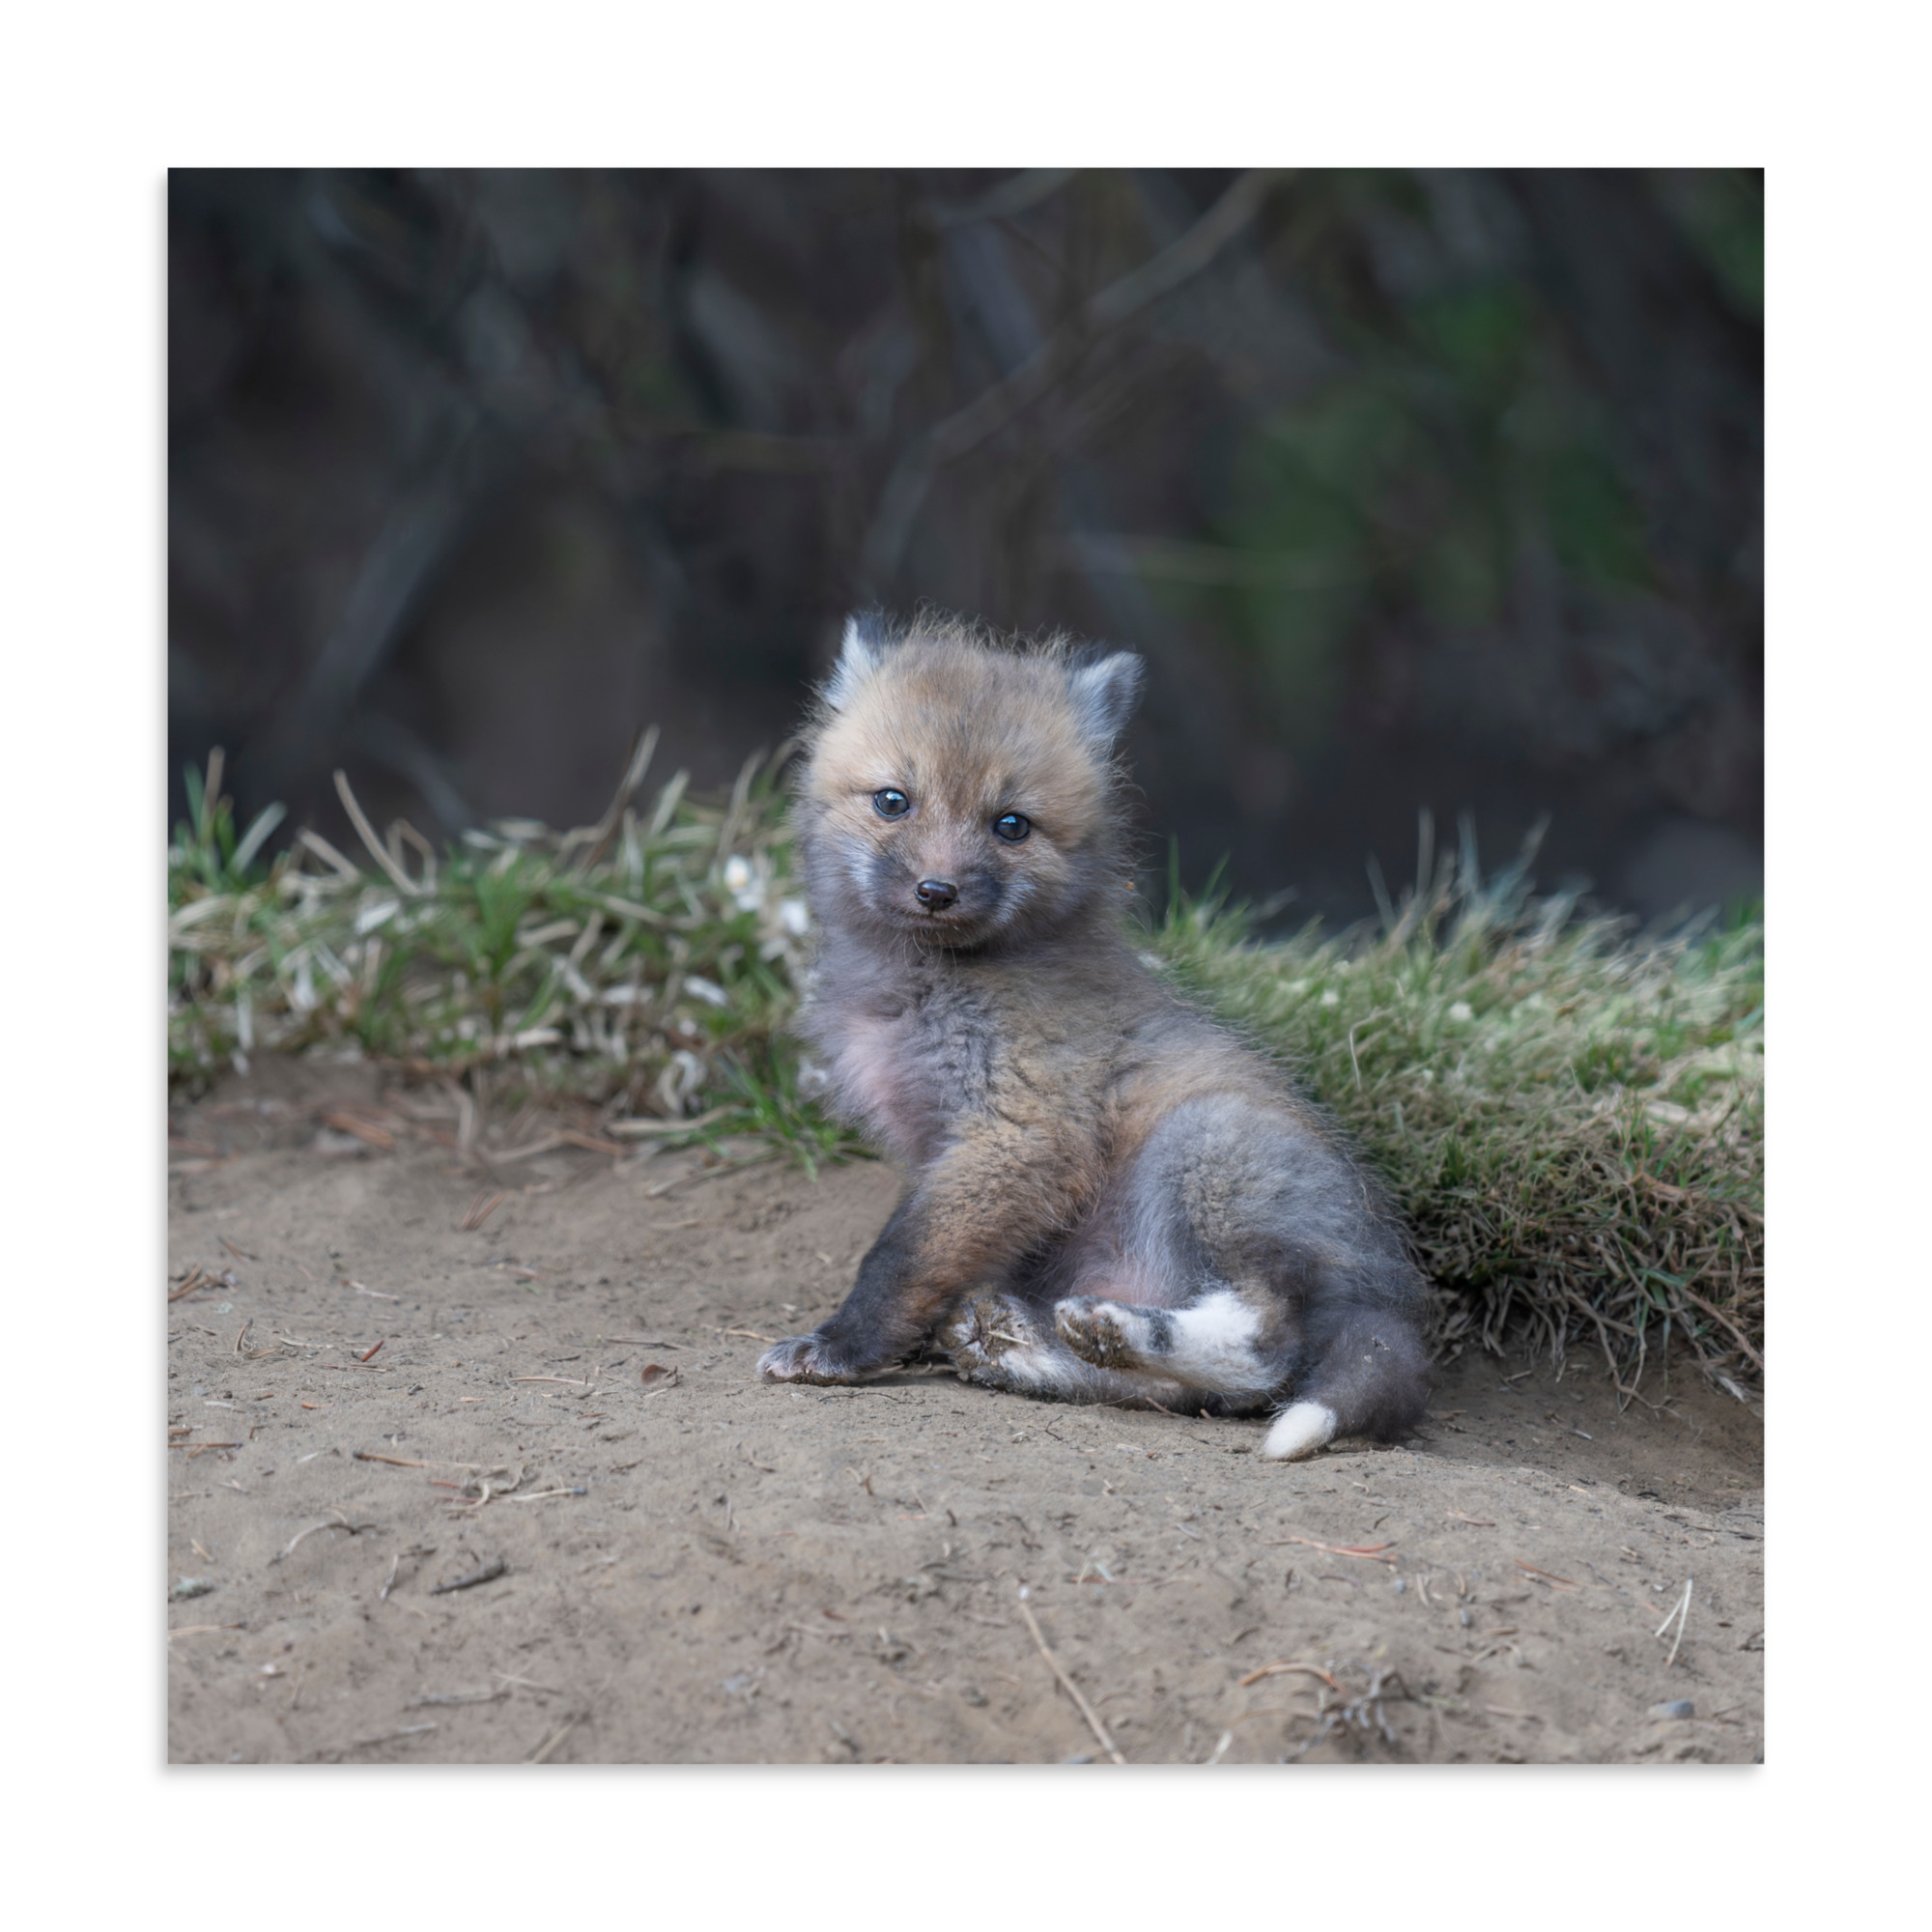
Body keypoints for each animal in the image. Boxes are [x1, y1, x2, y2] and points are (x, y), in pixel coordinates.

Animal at [756, 612, 1430, 1460]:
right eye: (892, 801)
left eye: (1011, 825)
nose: (937, 891)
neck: (926, 987)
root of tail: (1393, 1297)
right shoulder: (947, 1148)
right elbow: (927, 1255)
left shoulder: (1020, 1131)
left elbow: (900, 1257)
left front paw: (841, 1347)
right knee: (1187, 1394)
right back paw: (1033, 1348)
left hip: (1204, 1148)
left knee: (1267, 1350)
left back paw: (1117, 1331)